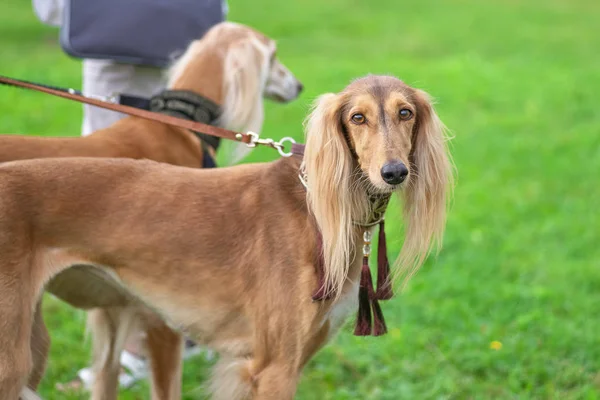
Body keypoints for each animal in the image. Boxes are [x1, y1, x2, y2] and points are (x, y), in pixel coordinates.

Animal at [0, 21, 302, 400]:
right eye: (273, 56)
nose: (299, 86)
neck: (177, 124)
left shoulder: (113, 309)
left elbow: (107, 377)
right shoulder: (163, 318)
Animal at [0, 75, 450, 400]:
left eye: (406, 112)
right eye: (357, 117)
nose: (394, 173)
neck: (319, 211)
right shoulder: (273, 367)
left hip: (33, 348)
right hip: (12, 358)